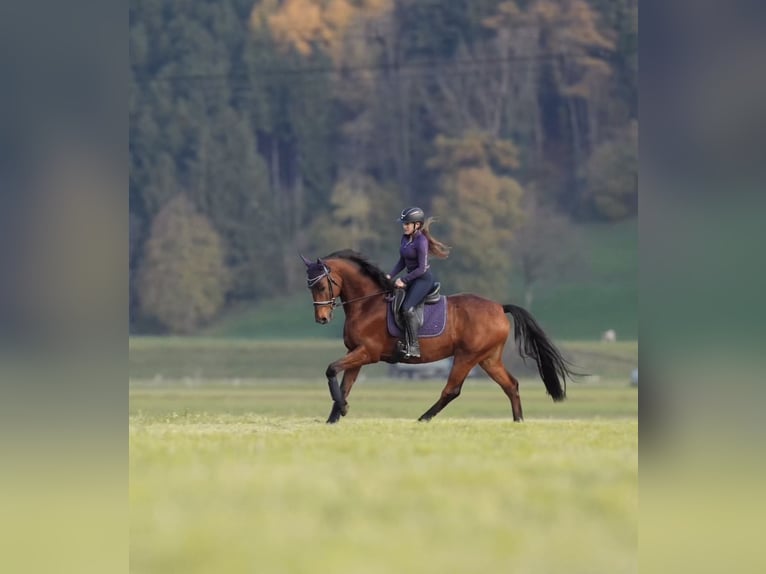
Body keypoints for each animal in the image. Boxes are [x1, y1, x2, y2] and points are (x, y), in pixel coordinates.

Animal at [302, 250, 575, 424]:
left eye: (322, 285)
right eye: (310, 286)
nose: (321, 318)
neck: (367, 304)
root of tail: (499, 306)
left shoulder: (367, 353)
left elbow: (331, 370)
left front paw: (342, 410)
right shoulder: (355, 353)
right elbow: (345, 385)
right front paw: (334, 417)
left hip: (466, 356)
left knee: (452, 390)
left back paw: (423, 418)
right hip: (488, 358)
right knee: (511, 385)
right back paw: (518, 422)